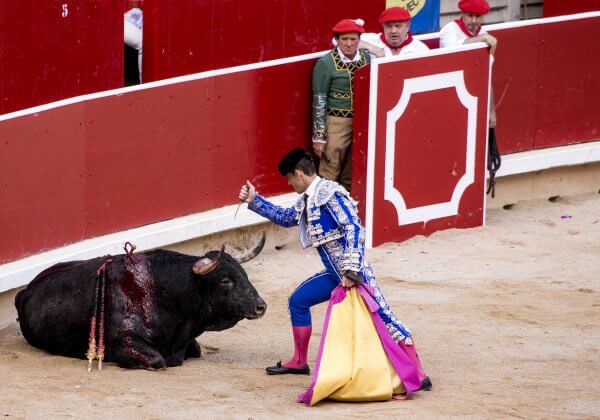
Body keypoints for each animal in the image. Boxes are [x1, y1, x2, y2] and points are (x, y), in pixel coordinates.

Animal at [14, 235, 268, 370]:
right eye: (226, 281)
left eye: (244, 275)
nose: (261, 306)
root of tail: (24, 291)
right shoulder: (126, 342)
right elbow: (157, 360)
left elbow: (195, 349)